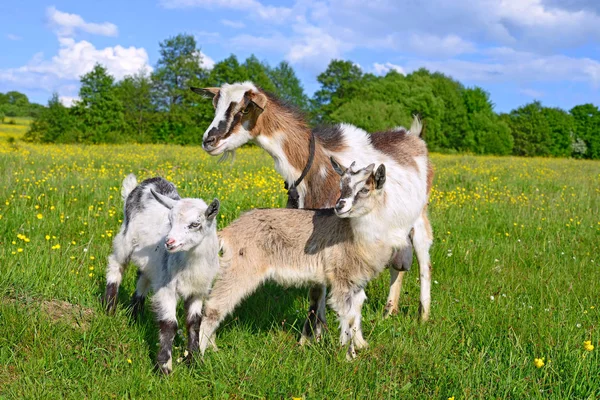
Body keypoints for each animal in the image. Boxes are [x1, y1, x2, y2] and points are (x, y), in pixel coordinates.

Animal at [195, 81, 434, 332]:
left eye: (244, 109)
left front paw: (317, 332)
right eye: (216, 106)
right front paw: (318, 331)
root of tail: (414, 136)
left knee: (424, 265)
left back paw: (423, 316)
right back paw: (389, 311)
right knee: (397, 265)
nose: (209, 141)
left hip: (420, 219)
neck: (314, 167)